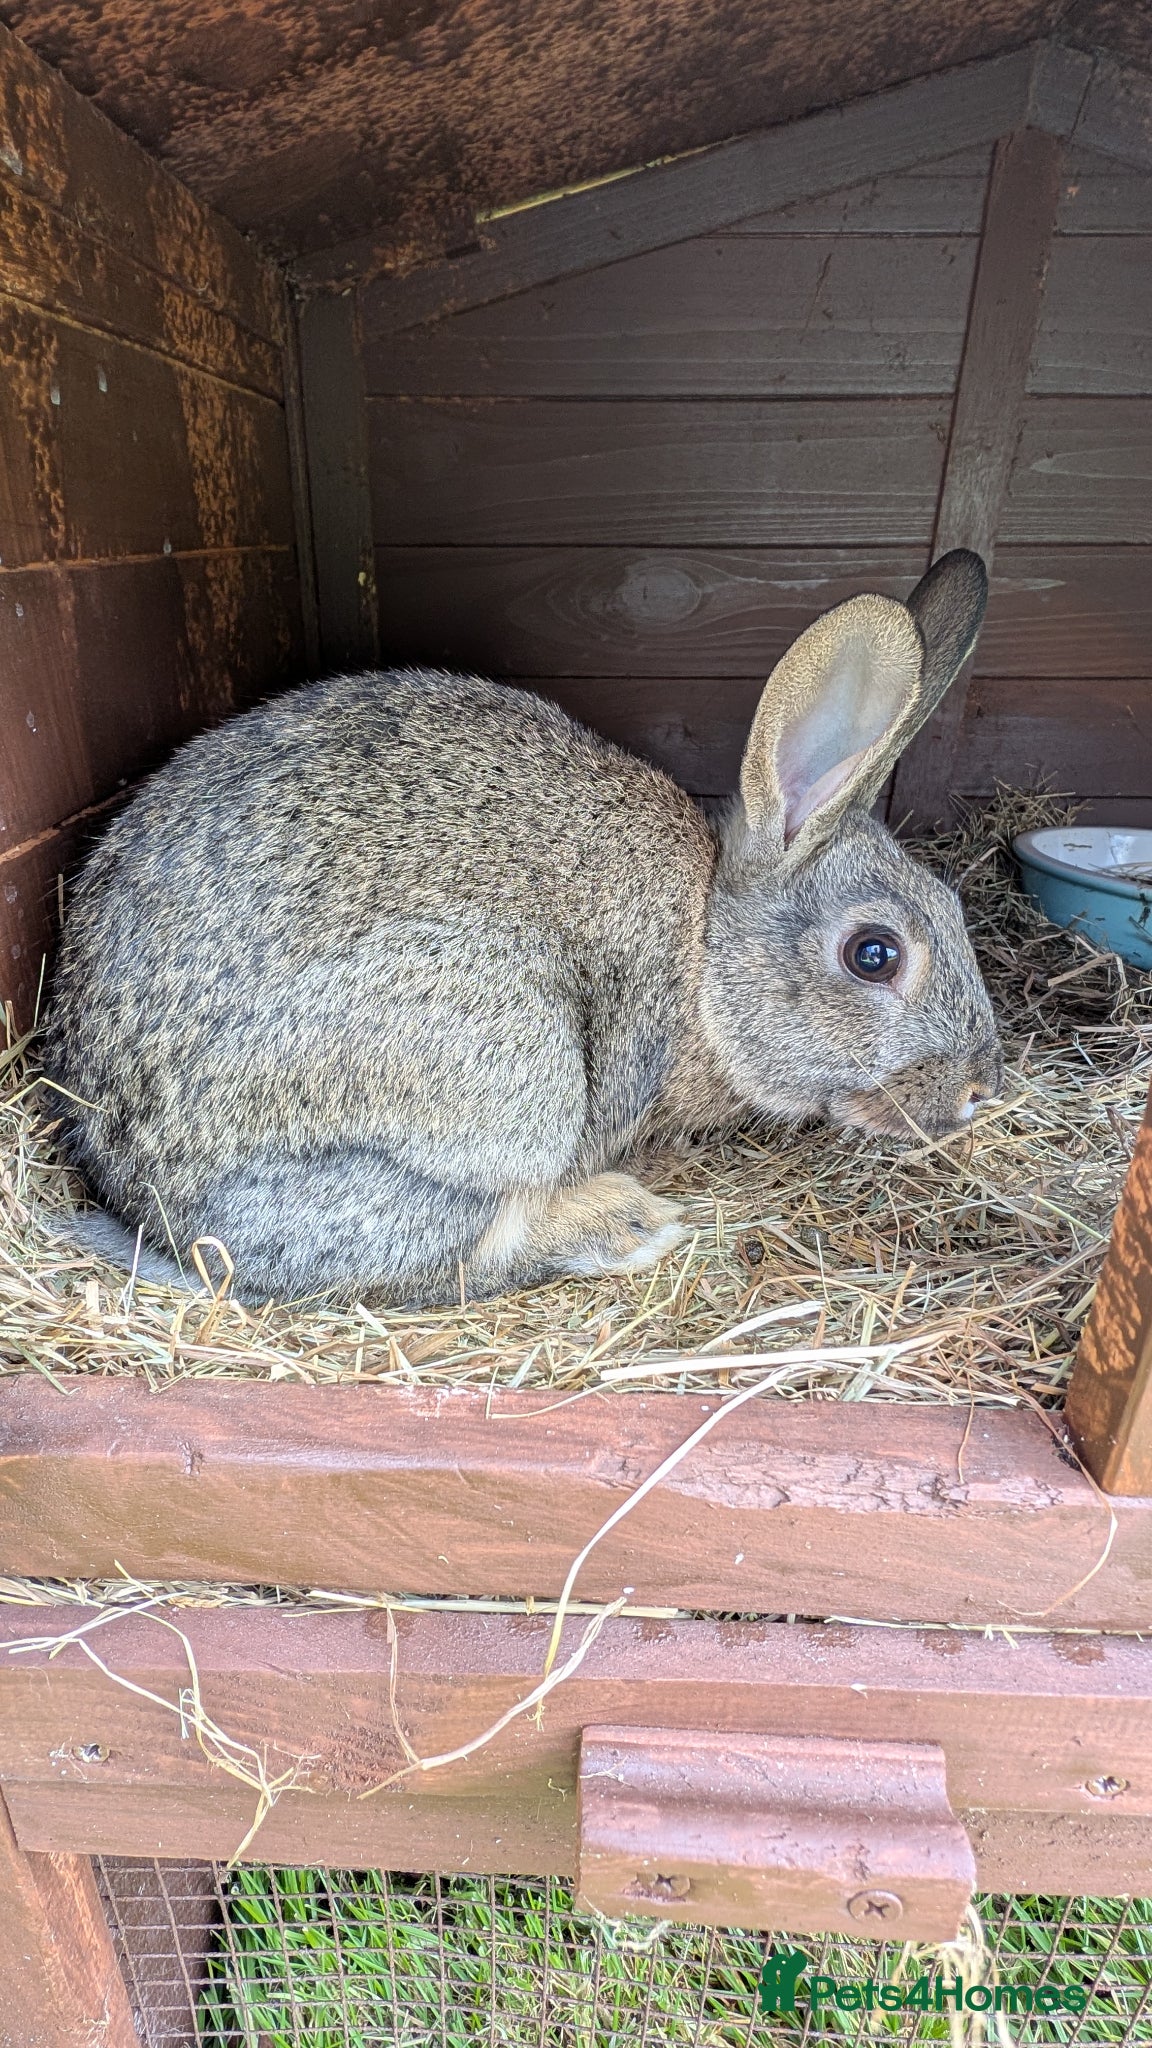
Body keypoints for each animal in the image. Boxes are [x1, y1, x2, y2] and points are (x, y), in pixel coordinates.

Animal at [44, 548, 1002, 1308]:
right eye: (873, 954)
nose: (978, 1091)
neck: (703, 946)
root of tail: (147, 1194)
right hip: (503, 1062)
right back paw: (628, 1221)